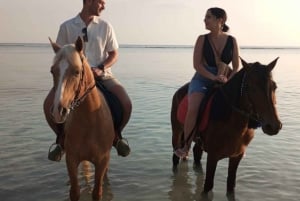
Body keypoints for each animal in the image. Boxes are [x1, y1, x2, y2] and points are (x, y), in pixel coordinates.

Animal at [47, 37, 114, 200]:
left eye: (77, 72)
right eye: (52, 71)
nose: (58, 111)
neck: (89, 121)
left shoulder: (102, 161)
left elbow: (97, 192)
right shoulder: (71, 160)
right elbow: (75, 192)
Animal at [171, 57, 282, 196]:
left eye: (274, 86)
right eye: (250, 87)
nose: (273, 126)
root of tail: (179, 91)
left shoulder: (237, 156)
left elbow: (231, 185)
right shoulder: (213, 157)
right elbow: (208, 186)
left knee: (197, 153)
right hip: (177, 133)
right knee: (175, 158)